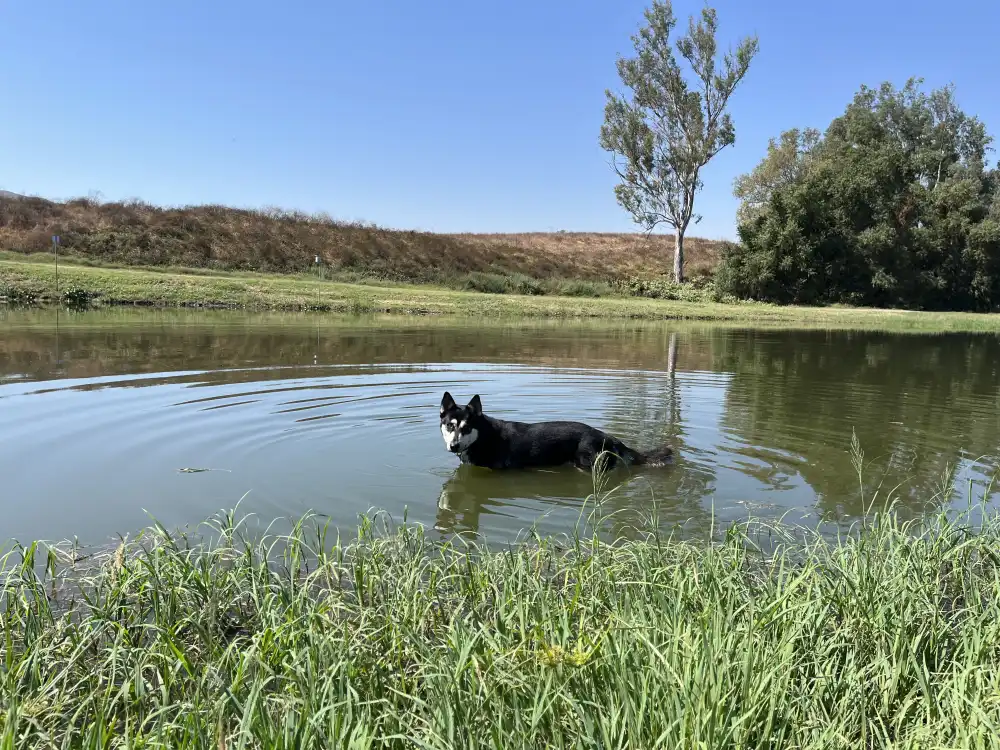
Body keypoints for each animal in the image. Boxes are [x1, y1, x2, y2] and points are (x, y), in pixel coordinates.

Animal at [438, 394, 672, 470]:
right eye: (450, 425)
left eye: (467, 427)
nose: (454, 446)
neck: (483, 437)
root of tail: (607, 436)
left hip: (586, 465)